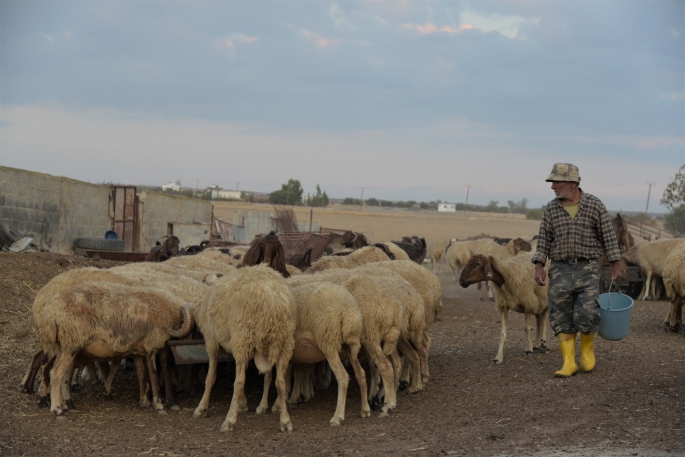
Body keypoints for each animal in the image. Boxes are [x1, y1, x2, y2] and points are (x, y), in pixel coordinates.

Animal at [33, 280, 194, 416]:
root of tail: (49, 314)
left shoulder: (138, 352)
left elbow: (143, 376)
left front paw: (145, 403)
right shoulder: (151, 344)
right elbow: (153, 376)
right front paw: (159, 405)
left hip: (62, 345)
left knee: (59, 372)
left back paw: (65, 404)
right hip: (71, 343)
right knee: (55, 373)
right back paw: (57, 409)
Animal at [194, 264, 298, 432]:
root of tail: (272, 302)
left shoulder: (211, 341)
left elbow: (211, 377)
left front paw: (201, 407)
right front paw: (242, 404)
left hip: (242, 336)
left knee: (239, 381)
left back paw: (229, 420)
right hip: (285, 343)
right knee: (280, 382)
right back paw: (285, 421)